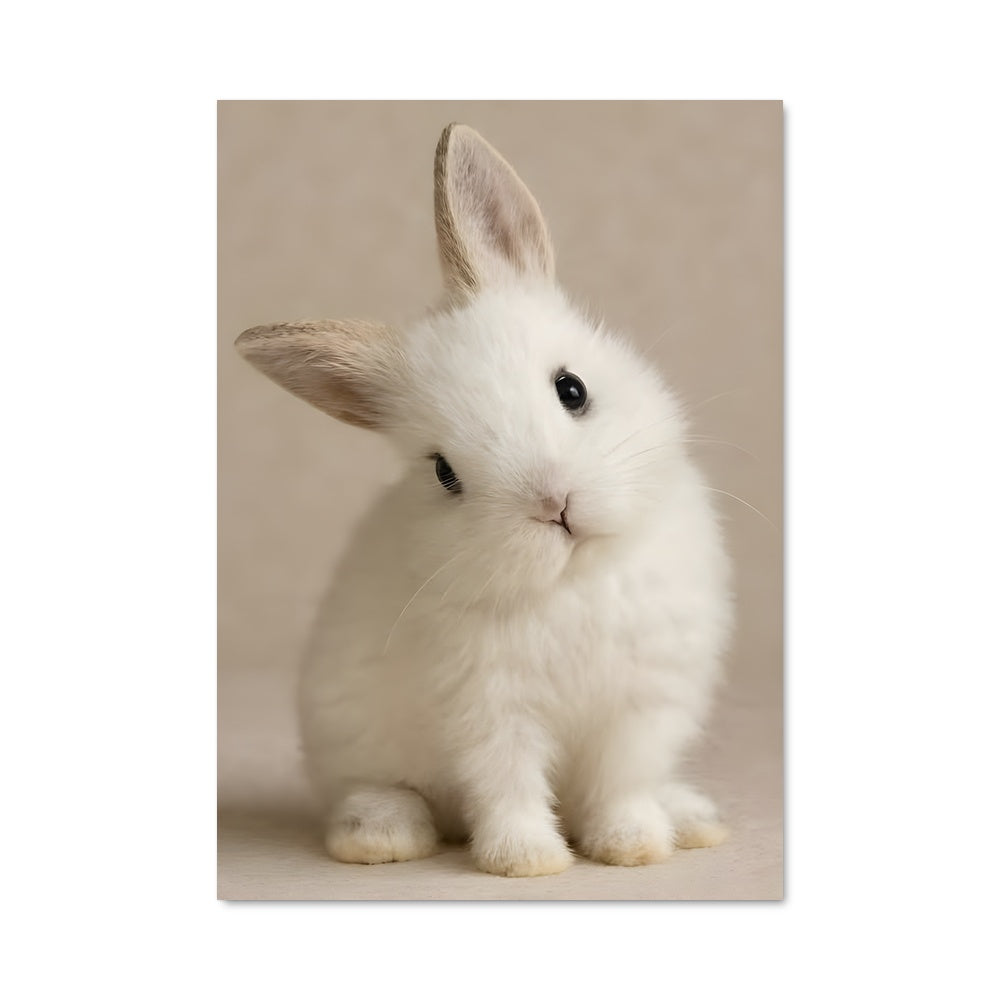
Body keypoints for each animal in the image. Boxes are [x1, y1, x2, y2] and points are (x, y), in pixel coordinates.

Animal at [235, 123, 733, 877]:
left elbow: (620, 787)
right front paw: (528, 861)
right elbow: (509, 786)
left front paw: (633, 848)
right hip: (352, 745)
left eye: (571, 389)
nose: (554, 505)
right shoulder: (489, 712)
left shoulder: (640, 710)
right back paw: (381, 837)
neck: (575, 580)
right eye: (445, 472)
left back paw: (693, 821)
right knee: (377, 791)